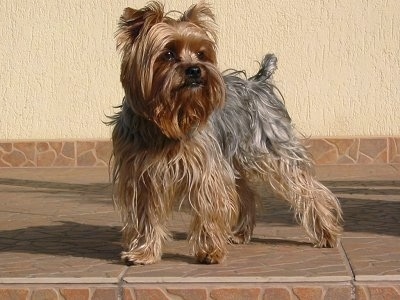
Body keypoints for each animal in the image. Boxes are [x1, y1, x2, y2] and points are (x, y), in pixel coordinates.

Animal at [108, 1, 342, 264]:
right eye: (167, 54)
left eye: (201, 53)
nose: (195, 70)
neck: (168, 119)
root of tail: (259, 82)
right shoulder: (141, 175)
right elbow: (145, 216)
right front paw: (143, 252)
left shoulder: (206, 169)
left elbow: (209, 206)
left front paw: (210, 251)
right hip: (235, 159)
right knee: (247, 194)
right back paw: (241, 234)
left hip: (275, 150)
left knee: (309, 189)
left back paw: (326, 234)